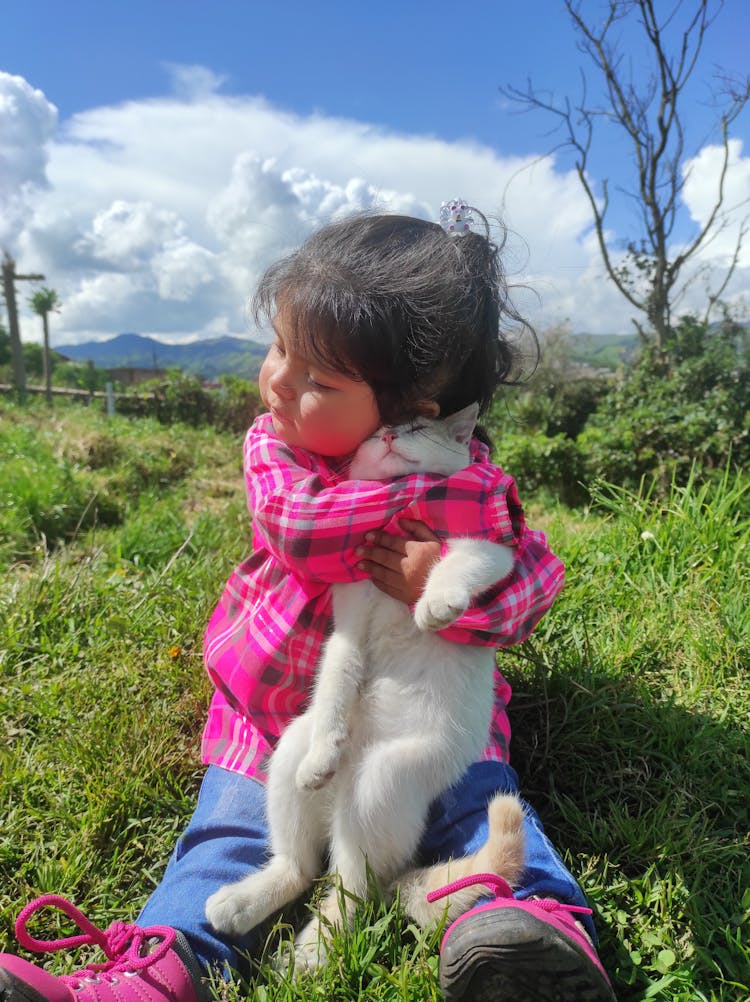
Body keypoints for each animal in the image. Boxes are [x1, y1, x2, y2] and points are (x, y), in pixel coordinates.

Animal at [202, 402, 524, 965]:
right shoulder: (348, 629)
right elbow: (336, 679)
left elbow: (458, 561)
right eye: (377, 432)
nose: (390, 434)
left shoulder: (492, 550)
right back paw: (252, 906)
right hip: (289, 752)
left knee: (355, 892)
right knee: (307, 869)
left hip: (380, 781)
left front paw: (435, 603)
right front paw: (324, 752)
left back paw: (307, 956)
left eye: (416, 427)